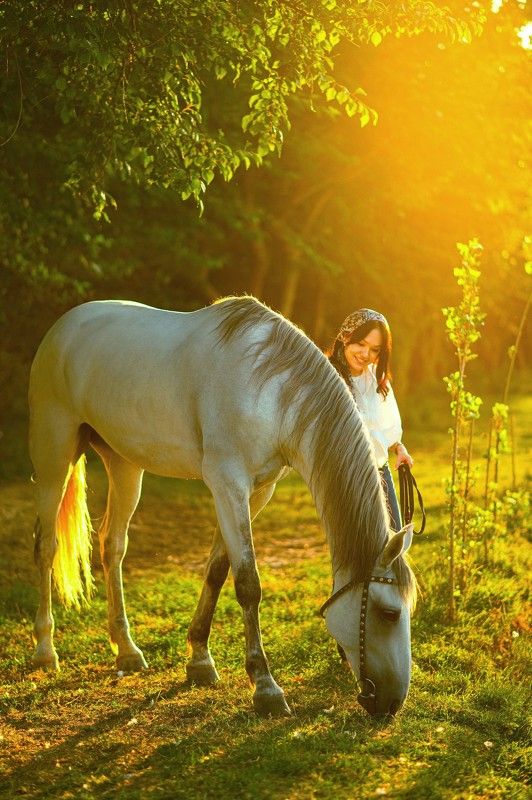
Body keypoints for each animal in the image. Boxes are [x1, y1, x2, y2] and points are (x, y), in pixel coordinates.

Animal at [28, 295, 417, 718]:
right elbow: (247, 583)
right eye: (389, 612)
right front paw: (265, 686)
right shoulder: (228, 484)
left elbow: (217, 570)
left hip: (124, 463)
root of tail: (66, 325)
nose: (393, 702)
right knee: (46, 547)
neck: (267, 388)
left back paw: (127, 651)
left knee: (112, 545)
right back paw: (45, 651)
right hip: (53, 454)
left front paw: (199, 660)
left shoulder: (256, 491)